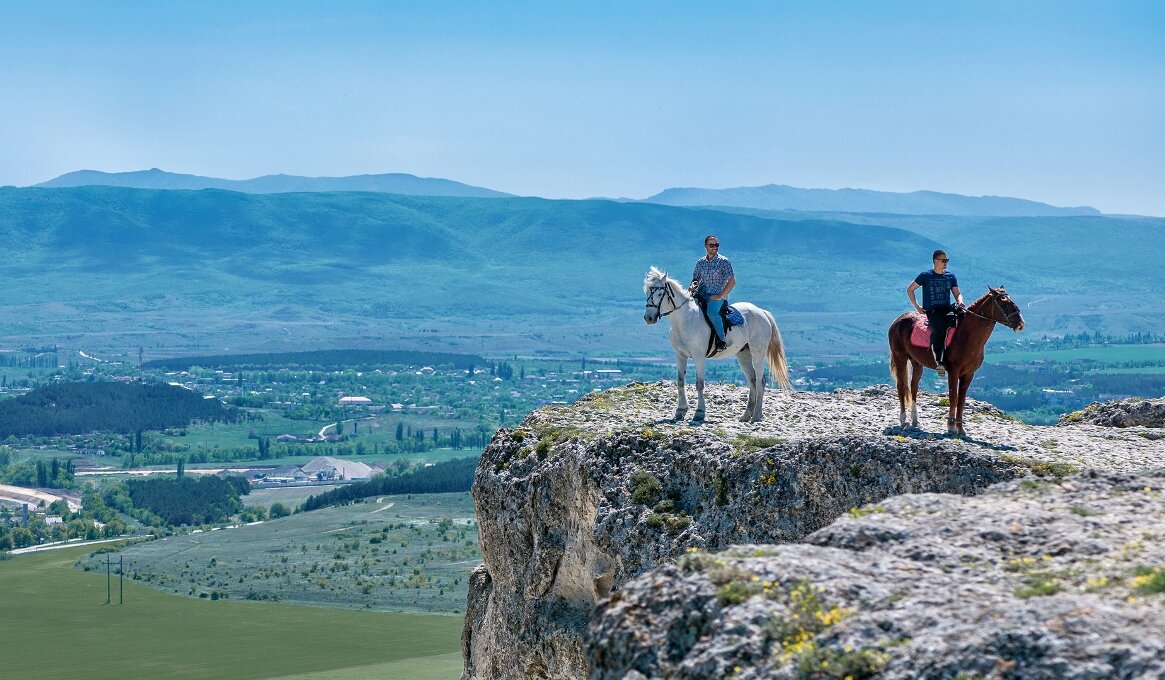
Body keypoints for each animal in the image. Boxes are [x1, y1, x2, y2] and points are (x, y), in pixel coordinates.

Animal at [643, 266, 796, 419]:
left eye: (660, 293)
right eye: (647, 292)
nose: (648, 318)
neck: (684, 320)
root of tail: (762, 312)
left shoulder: (699, 356)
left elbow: (699, 383)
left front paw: (700, 412)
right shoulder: (680, 355)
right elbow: (680, 381)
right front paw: (680, 410)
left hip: (758, 352)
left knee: (760, 380)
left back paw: (757, 415)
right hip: (743, 354)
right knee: (752, 379)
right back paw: (746, 415)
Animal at [885, 286, 1025, 435]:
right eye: (1004, 303)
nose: (1020, 324)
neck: (967, 334)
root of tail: (897, 321)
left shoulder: (968, 374)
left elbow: (961, 400)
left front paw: (960, 428)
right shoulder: (953, 371)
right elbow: (953, 396)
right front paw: (951, 426)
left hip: (917, 363)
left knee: (913, 387)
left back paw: (915, 420)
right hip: (900, 358)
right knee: (901, 387)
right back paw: (903, 420)